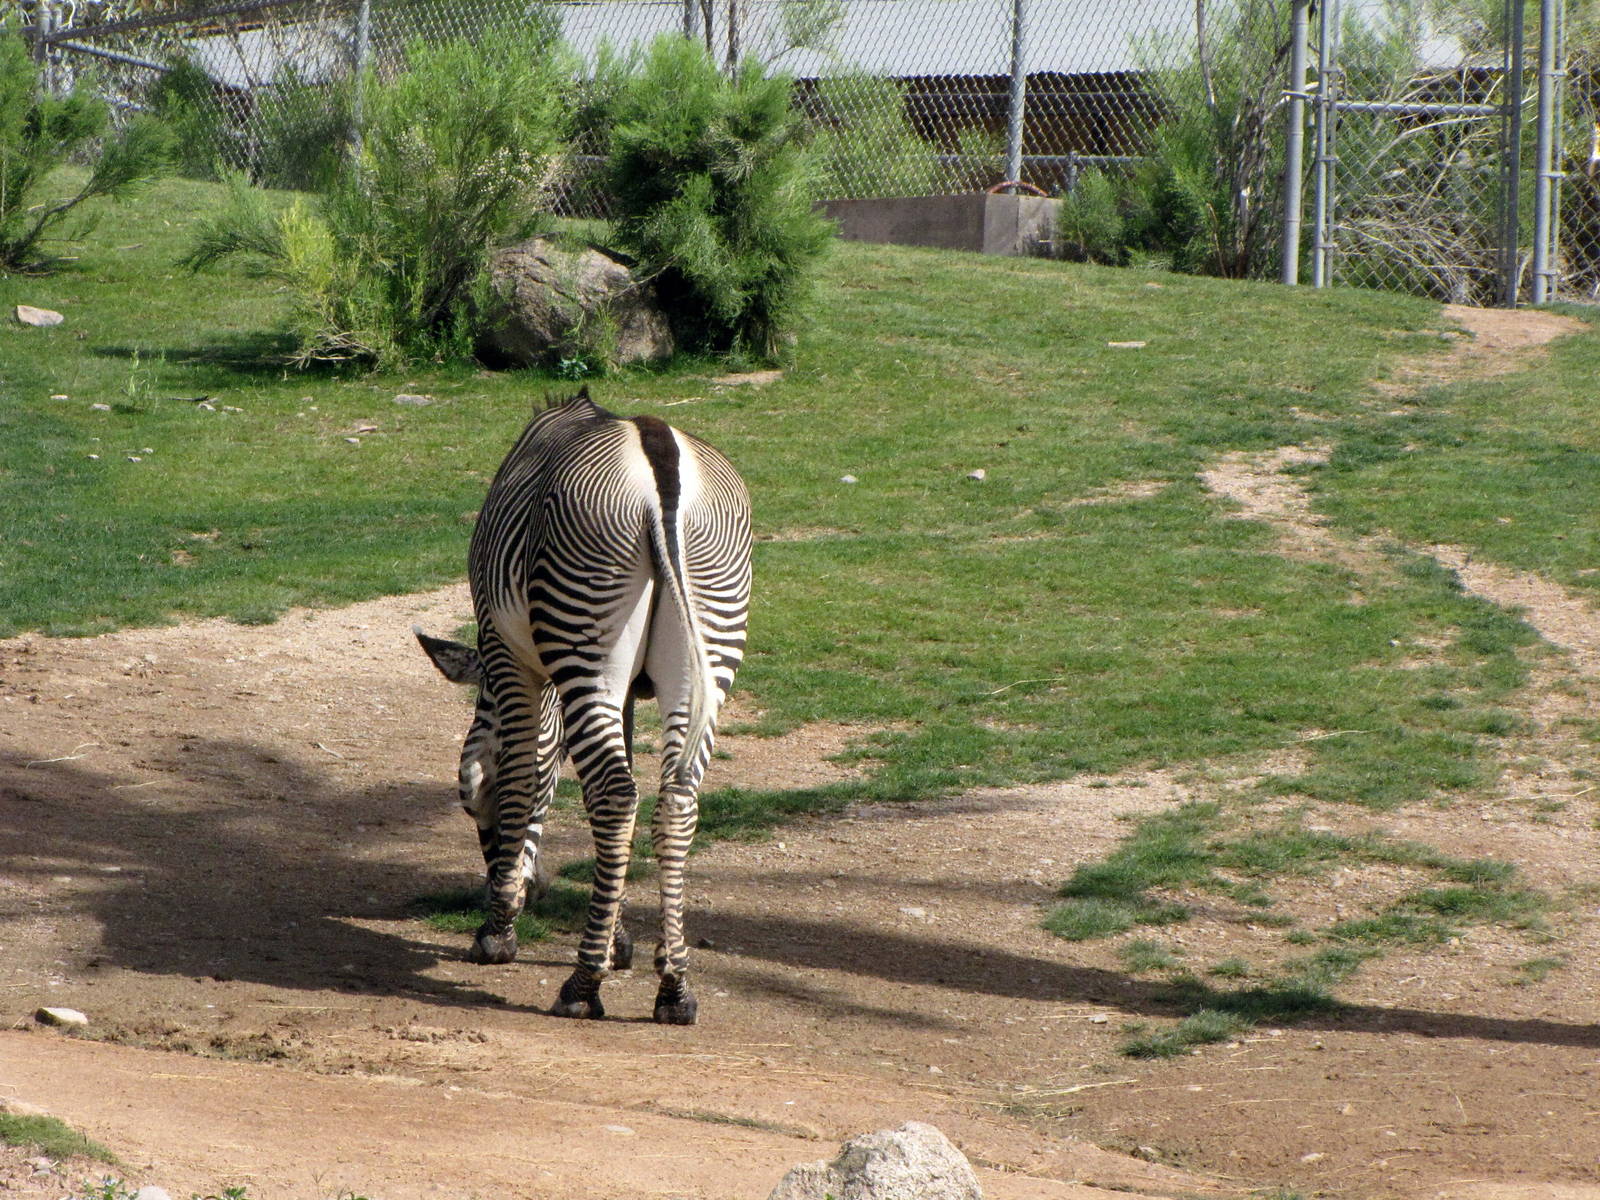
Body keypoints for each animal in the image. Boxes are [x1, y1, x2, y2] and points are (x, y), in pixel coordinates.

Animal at [416, 389, 751, 1024]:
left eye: (474, 802)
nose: (530, 890)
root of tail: (658, 452)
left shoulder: (508, 657)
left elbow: (524, 778)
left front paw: (498, 931)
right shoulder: (626, 692)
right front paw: (622, 939)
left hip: (584, 632)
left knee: (617, 795)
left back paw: (581, 984)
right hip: (709, 643)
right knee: (670, 799)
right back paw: (675, 988)